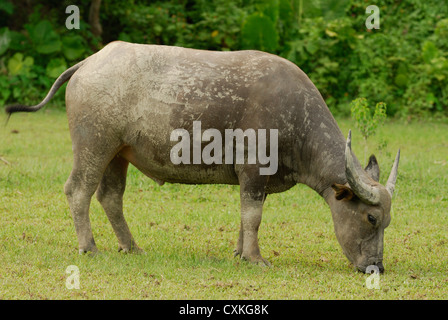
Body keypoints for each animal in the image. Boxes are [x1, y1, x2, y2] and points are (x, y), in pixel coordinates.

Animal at [6, 41, 400, 272]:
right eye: (370, 219)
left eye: (386, 223)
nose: (375, 268)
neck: (296, 120)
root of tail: (88, 63)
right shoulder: (253, 171)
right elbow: (253, 216)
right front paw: (256, 258)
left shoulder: (250, 180)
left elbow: (245, 217)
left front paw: (240, 253)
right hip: (94, 145)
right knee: (78, 191)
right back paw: (89, 247)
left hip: (118, 153)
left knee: (110, 197)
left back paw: (131, 247)